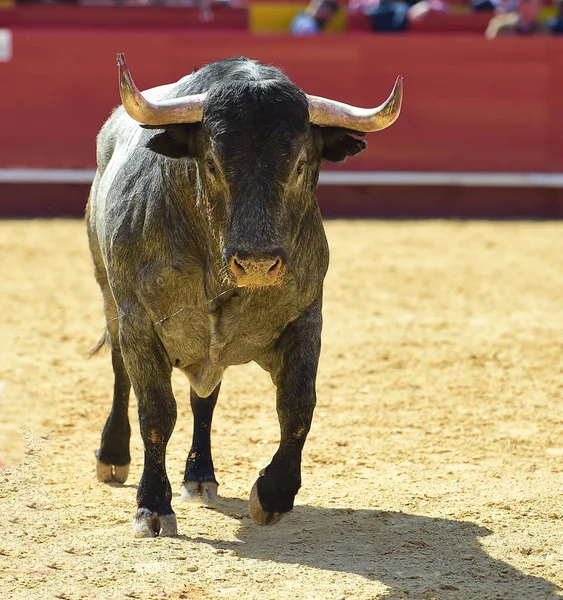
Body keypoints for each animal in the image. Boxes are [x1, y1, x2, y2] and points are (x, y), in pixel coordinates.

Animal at [86, 54, 404, 536]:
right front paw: (153, 507)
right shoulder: (137, 322)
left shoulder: (306, 317)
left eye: (299, 164)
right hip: (108, 295)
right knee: (122, 374)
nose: (256, 263)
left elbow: (298, 405)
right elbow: (156, 414)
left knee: (205, 397)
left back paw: (200, 476)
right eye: (213, 163)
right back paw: (113, 457)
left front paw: (272, 494)